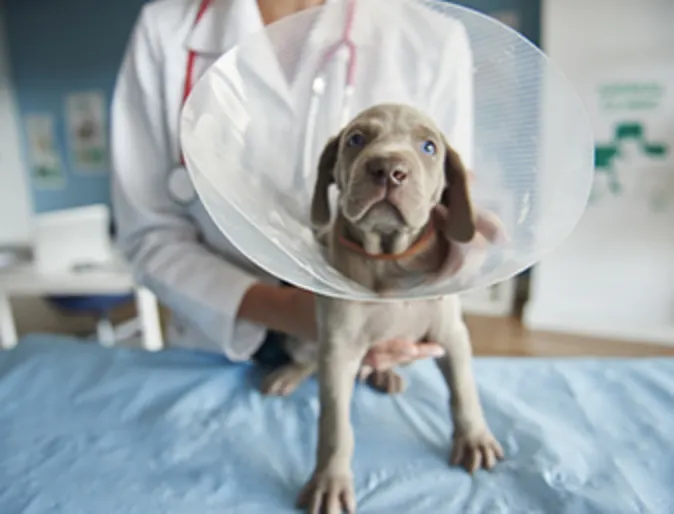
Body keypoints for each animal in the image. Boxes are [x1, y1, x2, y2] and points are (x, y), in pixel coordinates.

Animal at [262, 104, 498, 512]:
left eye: (428, 146)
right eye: (356, 139)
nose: (388, 169)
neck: (390, 258)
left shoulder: (451, 334)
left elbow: (464, 387)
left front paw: (474, 438)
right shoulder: (339, 348)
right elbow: (335, 424)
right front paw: (329, 482)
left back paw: (385, 375)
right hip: (305, 340)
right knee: (308, 359)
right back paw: (288, 374)